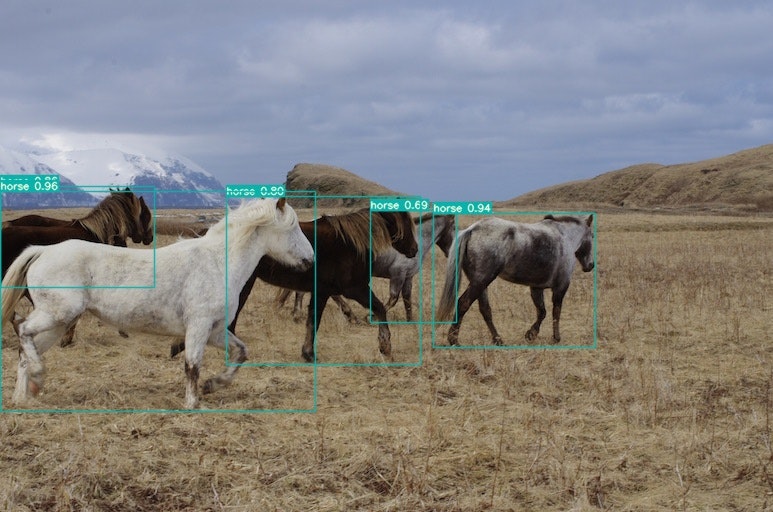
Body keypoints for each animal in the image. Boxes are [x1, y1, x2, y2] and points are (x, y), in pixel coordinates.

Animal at [1, 198, 313, 409]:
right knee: (22, 330)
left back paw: (24, 396)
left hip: (58, 323)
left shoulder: (214, 331)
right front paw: (193, 403)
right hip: (56, 314)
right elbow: (192, 366)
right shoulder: (198, 328)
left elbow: (241, 353)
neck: (216, 262)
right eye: (293, 228)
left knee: (25, 351)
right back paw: (38, 376)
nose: (310, 260)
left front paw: (212, 385)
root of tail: (42, 251)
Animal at [275, 213, 455, 322]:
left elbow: (407, 299)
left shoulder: (408, 277)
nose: (451, 252)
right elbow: (393, 299)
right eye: (454, 228)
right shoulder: (397, 274)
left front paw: (410, 320)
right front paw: (371, 316)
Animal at [436, 214, 594, 345]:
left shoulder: (536, 288)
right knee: (463, 303)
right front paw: (556, 338)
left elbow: (542, 312)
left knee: (485, 309)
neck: (565, 236)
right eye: (592, 236)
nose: (590, 265)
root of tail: (472, 229)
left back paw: (497, 339)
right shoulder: (561, 287)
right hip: (481, 281)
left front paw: (531, 334)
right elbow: (556, 313)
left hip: (479, 283)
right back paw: (453, 339)